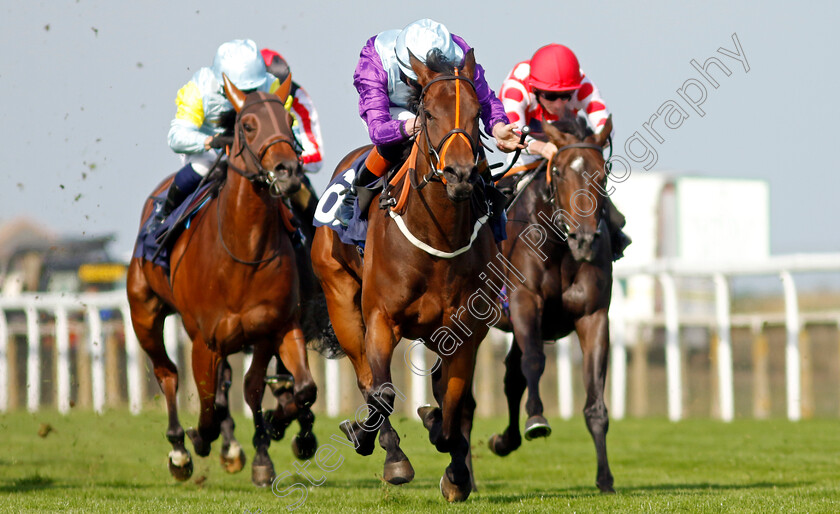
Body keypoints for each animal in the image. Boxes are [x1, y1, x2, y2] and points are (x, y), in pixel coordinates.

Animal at [126, 75, 320, 484]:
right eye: (247, 125)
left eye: (288, 121)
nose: (288, 171)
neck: (242, 253)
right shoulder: (205, 341)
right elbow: (208, 407)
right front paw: (200, 438)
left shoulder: (276, 327)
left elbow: (294, 388)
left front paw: (273, 441)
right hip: (145, 315)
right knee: (167, 374)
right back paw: (180, 449)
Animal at [314, 51, 498, 500]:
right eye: (428, 114)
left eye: (477, 113)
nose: (460, 174)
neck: (437, 238)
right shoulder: (381, 319)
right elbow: (381, 392)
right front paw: (372, 442)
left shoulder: (464, 329)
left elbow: (452, 404)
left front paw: (454, 469)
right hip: (341, 301)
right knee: (366, 378)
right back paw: (385, 448)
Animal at [486, 116, 616, 492]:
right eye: (557, 171)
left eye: (603, 172)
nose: (584, 240)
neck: (558, 246)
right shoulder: (525, 301)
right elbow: (534, 361)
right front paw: (537, 419)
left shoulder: (593, 316)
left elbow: (595, 401)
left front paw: (605, 478)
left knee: (509, 377)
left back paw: (503, 441)